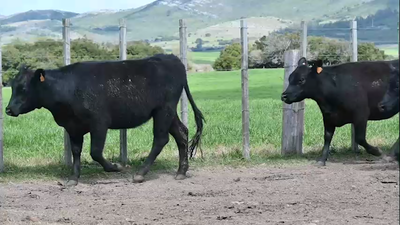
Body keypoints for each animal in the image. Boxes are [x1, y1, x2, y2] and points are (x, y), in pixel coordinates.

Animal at [5, 53, 205, 186]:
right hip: (167, 112)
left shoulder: (99, 123)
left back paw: (140, 173)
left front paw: (115, 167)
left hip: (164, 110)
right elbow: (76, 152)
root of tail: (170, 58)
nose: (8, 109)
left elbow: (95, 152)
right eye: (12, 86)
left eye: (23, 88)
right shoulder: (73, 127)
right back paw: (181, 171)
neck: (69, 88)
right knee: (181, 133)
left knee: (161, 139)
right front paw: (73, 178)